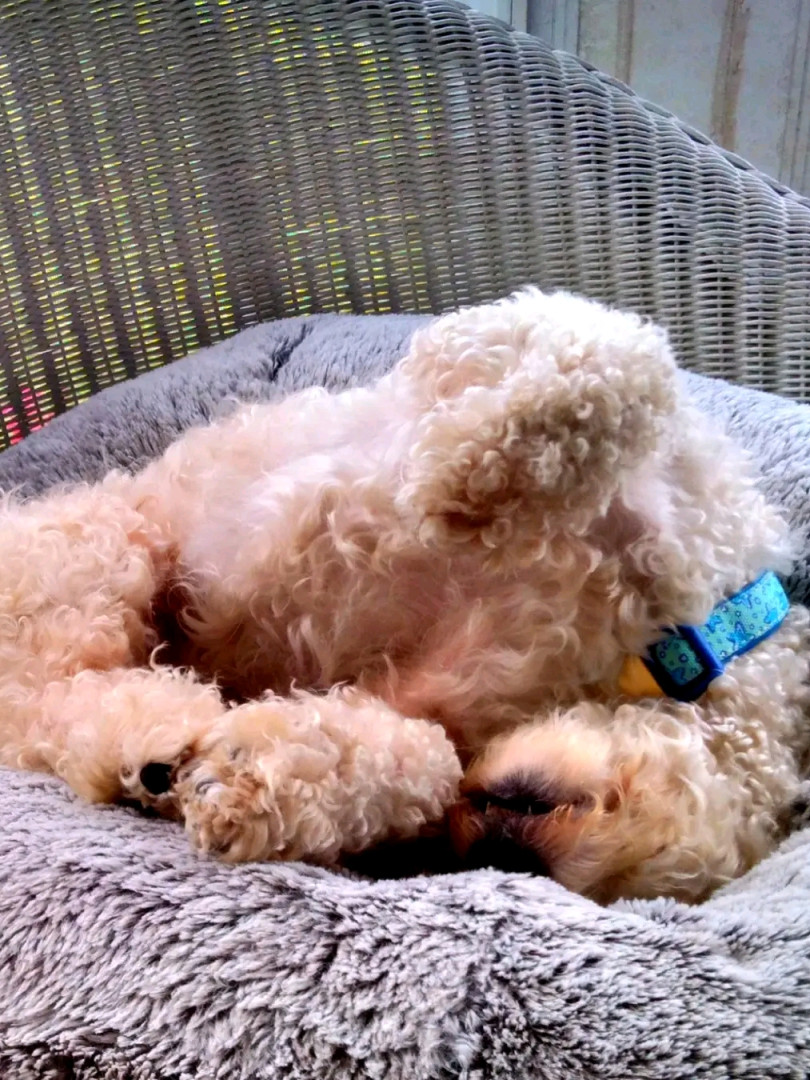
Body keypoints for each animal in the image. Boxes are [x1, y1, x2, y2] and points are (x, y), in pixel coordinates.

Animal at [0, 288, 807, 904]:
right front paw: (465, 475)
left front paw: (252, 782)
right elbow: (619, 369)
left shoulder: (425, 709)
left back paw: (155, 753)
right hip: (101, 546)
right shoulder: (506, 340)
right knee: (43, 695)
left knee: (52, 713)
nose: (512, 860)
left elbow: (414, 761)